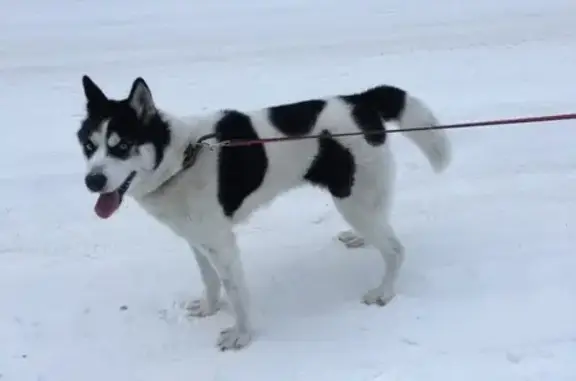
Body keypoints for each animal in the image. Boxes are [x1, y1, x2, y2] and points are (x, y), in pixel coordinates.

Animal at [76, 74, 452, 350]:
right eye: (89, 146)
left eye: (122, 146)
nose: (92, 181)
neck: (182, 159)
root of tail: (360, 100)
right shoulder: (197, 240)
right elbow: (209, 281)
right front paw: (209, 308)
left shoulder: (221, 245)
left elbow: (236, 294)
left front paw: (241, 336)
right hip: (363, 201)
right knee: (382, 229)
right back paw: (360, 239)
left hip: (354, 199)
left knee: (395, 249)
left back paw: (384, 292)